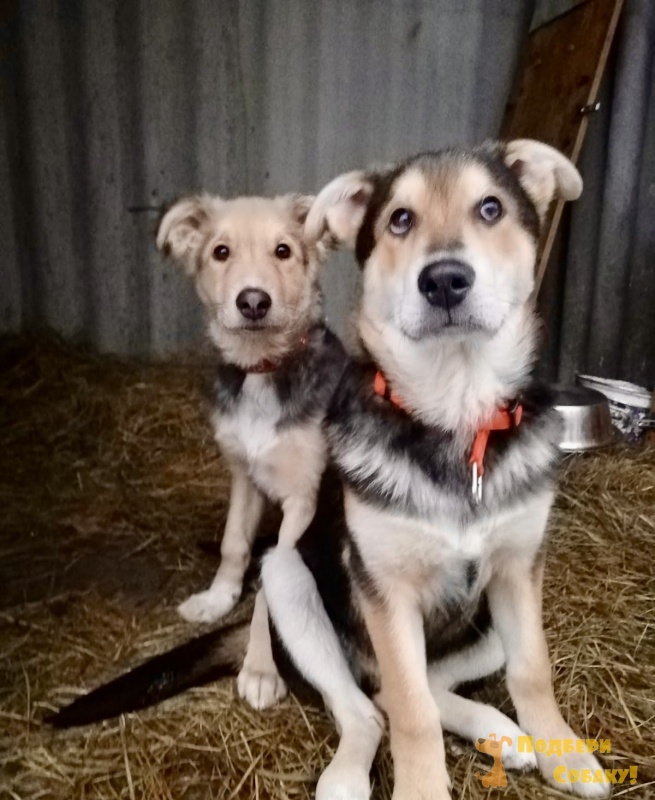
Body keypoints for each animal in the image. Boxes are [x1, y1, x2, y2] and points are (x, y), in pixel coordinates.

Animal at [156, 192, 346, 708]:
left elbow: (270, 584)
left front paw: (260, 669)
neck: (263, 370)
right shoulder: (245, 475)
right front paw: (217, 598)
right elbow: (235, 545)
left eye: (283, 251)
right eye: (221, 252)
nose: (254, 302)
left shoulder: (304, 499)